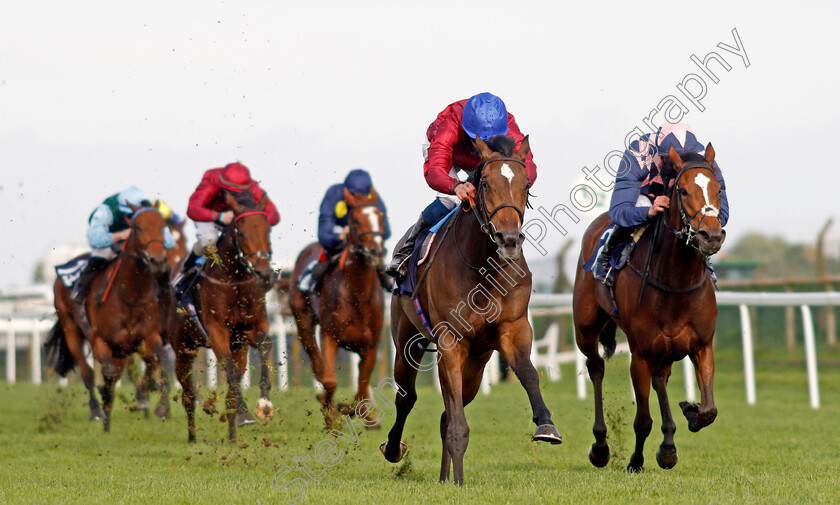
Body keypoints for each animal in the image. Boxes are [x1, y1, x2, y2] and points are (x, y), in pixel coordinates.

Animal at [47, 203, 172, 432]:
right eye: (138, 227)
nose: (157, 260)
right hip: (71, 328)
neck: (130, 295)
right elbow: (106, 371)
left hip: (122, 349)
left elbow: (159, 360)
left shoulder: (148, 337)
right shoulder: (99, 341)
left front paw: (159, 404)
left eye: (163, 226)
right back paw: (97, 411)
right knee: (87, 372)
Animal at [171, 191, 276, 442]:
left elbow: (264, 346)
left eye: (268, 230)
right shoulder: (216, 331)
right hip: (182, 350)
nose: (265, 275)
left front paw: (264, 402)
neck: (235, 283)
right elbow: (229, 370)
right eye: (241, 232)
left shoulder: (254, 327)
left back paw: (233, 432)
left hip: (238, 347)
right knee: (188, 395)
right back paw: (193, 436)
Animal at [288, 187, 388, 428]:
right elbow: (330, 381)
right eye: (356, 220)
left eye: (380, 217)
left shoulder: (371, 344)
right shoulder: (330, 336)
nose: (376, 250)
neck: (357, 295)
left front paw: (353, 411)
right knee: (318, 367)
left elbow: (361, 390)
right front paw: (332, 417)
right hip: (304, 323)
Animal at [378, 135, 560, 484]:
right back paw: (394, 449)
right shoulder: (450, 340)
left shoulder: (514, 328)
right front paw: (460, 483)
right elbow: (456, 423)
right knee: (407, 397)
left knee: (445, 414)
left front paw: (546, 425)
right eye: (485, 183)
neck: (482, 267)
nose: (509, 239)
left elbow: (528, 372)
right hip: (406, 340)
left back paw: (443, 477)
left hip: (476, 363)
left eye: (526, 183)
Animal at [576, 144, 724, 470]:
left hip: (666, 349)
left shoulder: (702, 345)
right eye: (683, 190)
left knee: (661, 379)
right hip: (585, 329)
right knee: (596, 367)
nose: (711, 235)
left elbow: (709, 410)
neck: (676, 281)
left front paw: (690, 412)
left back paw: (668, 441)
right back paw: (600, 445)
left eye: (719, 189)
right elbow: (642, 420)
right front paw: (635, 461)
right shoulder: (640, 354)